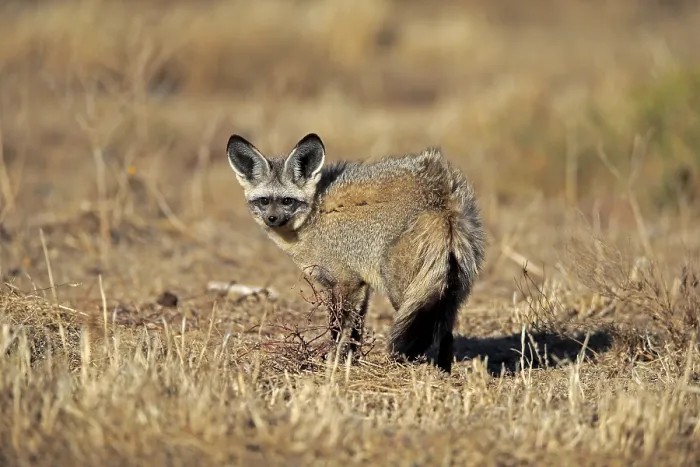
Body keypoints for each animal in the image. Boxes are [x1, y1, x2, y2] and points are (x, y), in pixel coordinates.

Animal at [225, 133, 486, 374]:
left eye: (287, 201)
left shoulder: (346, 282)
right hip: (446, 292)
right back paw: (444, 373)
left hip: (402, 291)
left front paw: (333, 364)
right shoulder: (359, 286)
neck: (315, 216)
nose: (272, 219)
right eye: (264, 201)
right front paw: (352, 363)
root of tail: (441, 195)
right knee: (446, 333)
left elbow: (338, 329)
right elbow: (355, 333)